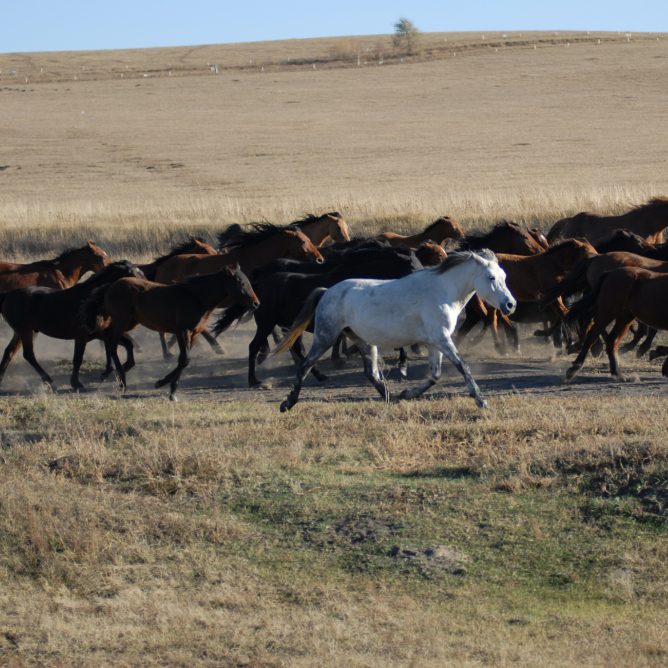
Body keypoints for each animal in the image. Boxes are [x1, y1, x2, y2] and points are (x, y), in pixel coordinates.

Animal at [0, 260, 141, 392]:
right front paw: (76, 383)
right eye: (132, 275)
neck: (90, 300)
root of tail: (7, 295)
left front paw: (120, 369)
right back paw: (50, 382)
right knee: (28, 354)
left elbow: (128, 344)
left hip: (24, 332)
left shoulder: (101, 334)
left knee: (9, 352)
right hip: (24, 331)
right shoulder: (81, 336)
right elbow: (77, 359)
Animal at [83, 266, 258, 402]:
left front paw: (173, 393)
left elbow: (184, 361)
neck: (197, 298)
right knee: (112, 344)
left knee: (110, 340)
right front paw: (160, 383)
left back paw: (115, 372)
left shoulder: (194, 334)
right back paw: (122, 383)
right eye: (241, 282)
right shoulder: (182, 331)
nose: (256, 303)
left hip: (129, 323)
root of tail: (110, 286)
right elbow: (184, 359)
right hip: (122, 321)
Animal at [274, 250, 516, 412]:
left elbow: (435, 375)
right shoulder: (442, 338)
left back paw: (390, 399)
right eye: (491, 278)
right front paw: (481, 401)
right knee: (305, 365)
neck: (443, 291)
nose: (511, 305)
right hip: (326, 336)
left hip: (365, 342)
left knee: (372, 373)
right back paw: (288, 403)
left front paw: (407, 394)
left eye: (505, 276)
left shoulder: (435, 342)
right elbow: (462, 367)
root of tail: (326, 291)